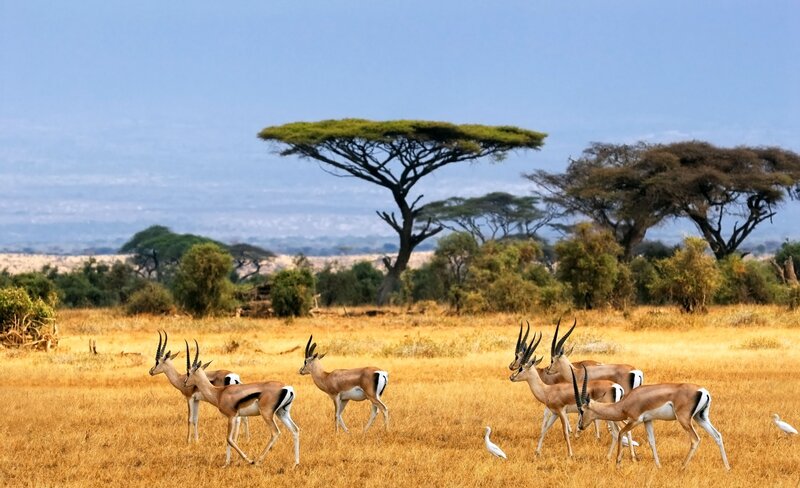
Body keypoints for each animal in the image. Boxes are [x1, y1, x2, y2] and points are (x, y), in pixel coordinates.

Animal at [510, 329, 625, 458]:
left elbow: (565, 432)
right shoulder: (555, 413)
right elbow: (544, 429)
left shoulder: (561, 412)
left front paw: (570, 454)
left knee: (617, 431)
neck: (547, 390)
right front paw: (537, 452)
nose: (511, 377)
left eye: (521, 368)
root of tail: (616, 386)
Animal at [572, 366, 730, 470]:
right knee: (717, 435)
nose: (580, 426)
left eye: (581, 410)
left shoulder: (635, 420)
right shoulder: (648, 421)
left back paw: (682, 467)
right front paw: (658, 465)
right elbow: (652, 441)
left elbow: (622, 433)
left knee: (695, 439)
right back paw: (727, 467)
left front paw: (618, 464)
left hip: (684, 420)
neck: (625, 402)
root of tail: (703, 391)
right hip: (701, 417)